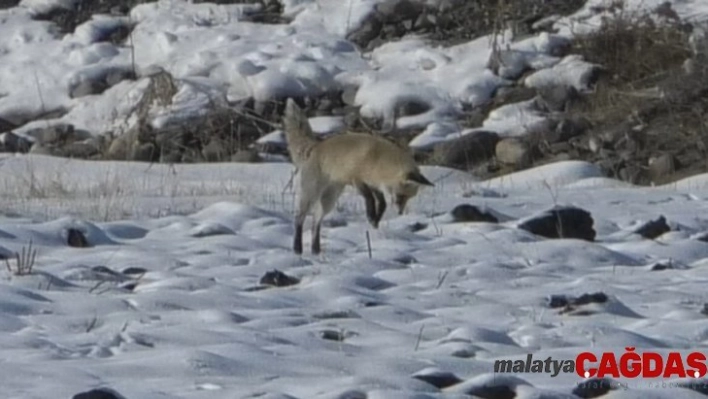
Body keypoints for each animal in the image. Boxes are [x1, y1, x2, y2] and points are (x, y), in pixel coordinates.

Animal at [280, 98, 434, 255]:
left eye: (409, 198)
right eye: (401, 196)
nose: (400, 212)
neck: (379, 162)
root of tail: (316, 145)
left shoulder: (375, 184)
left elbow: (382, 203)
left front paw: (375, 220)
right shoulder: (357, 179)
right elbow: (369, 198)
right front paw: (371, 216)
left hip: (328, 201)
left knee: (315, 223)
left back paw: (315, 250)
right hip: (310, 194)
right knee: (299, 218)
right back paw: (297, 248)